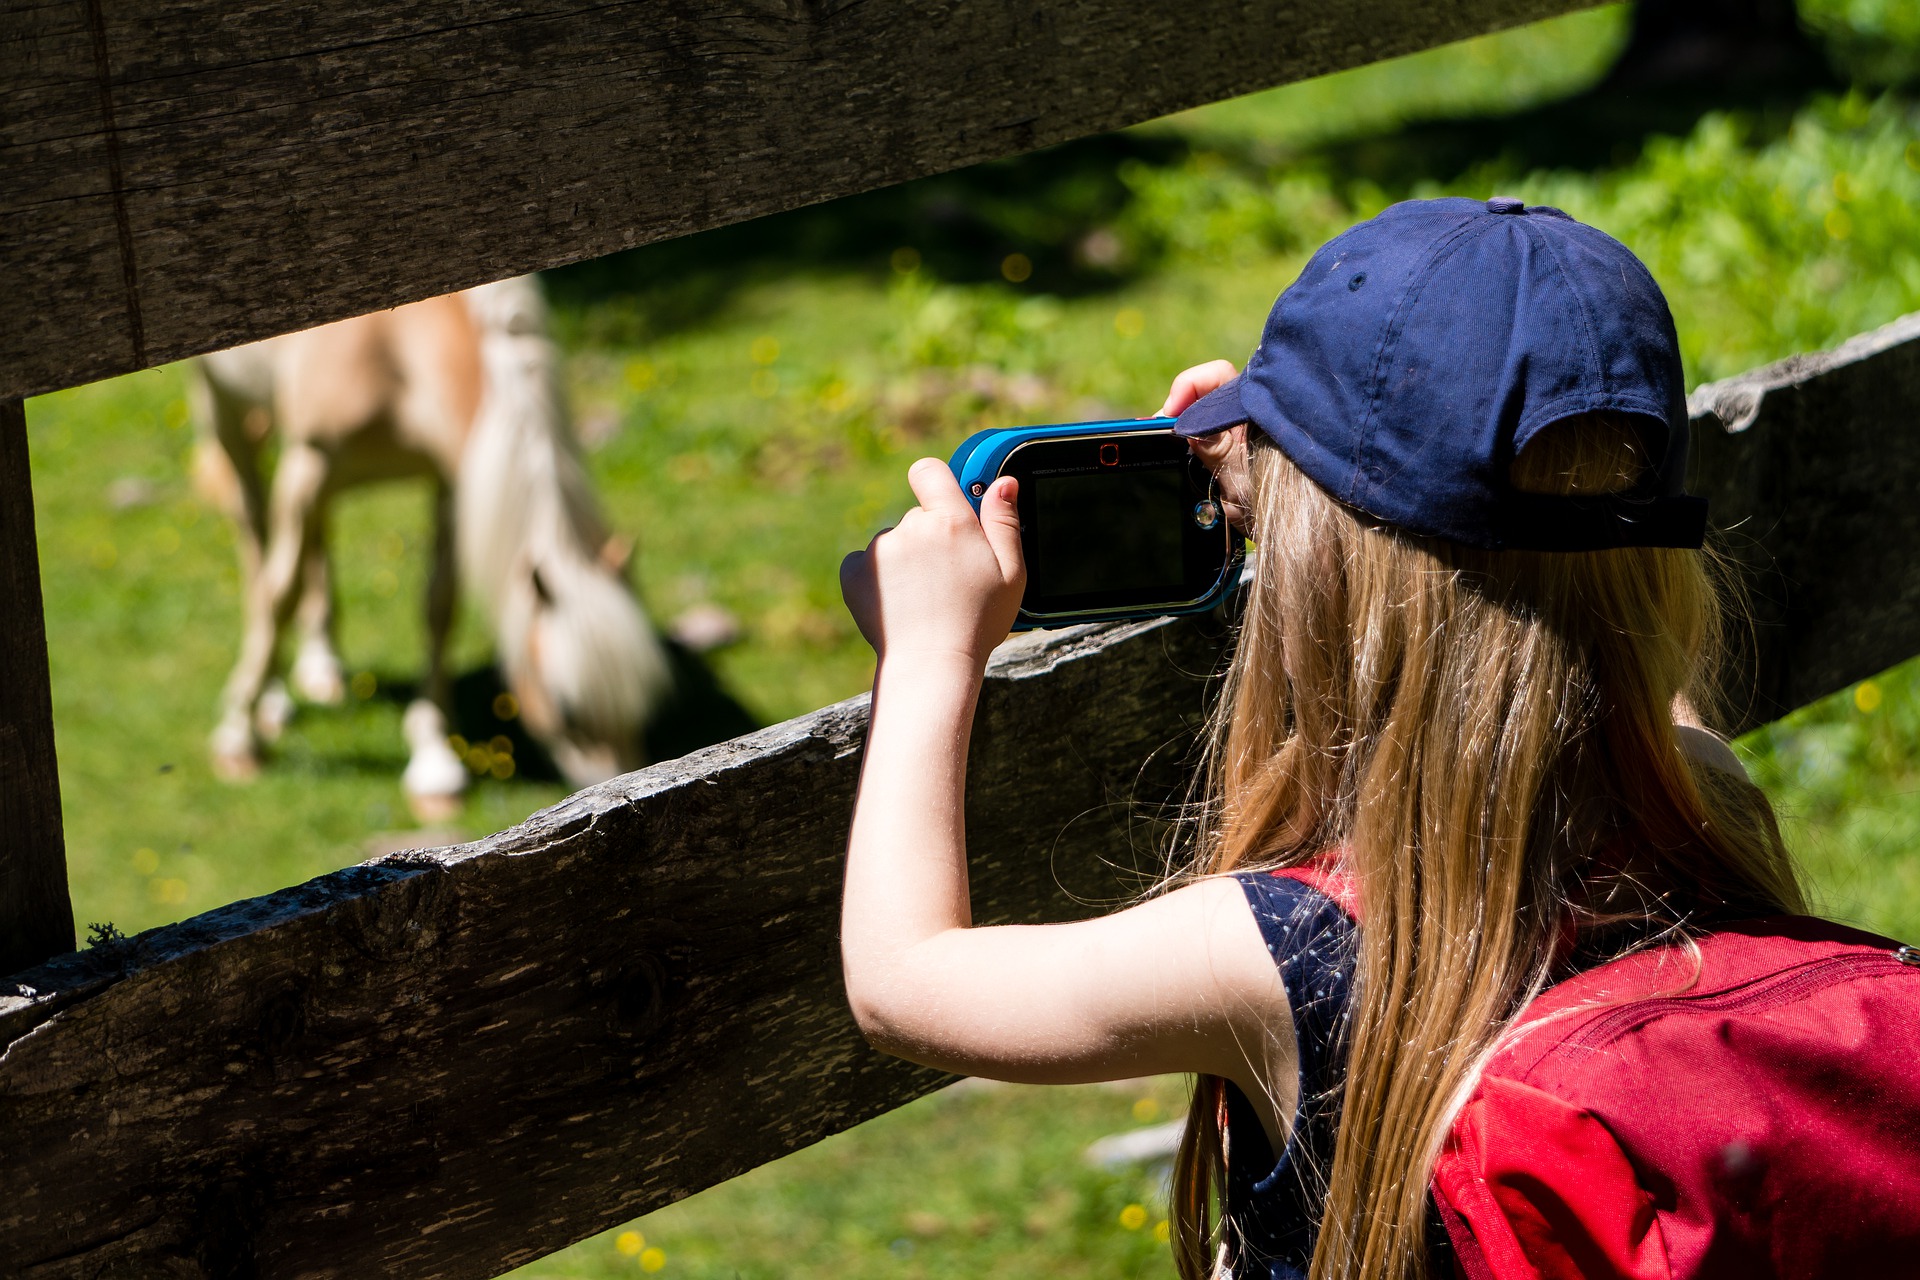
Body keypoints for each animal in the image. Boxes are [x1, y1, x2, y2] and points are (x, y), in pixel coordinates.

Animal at [192, 276, 675, 817]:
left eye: (643, 705)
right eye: (567, 711)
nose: (624, 797)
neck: (390, 341)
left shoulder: (450, 482)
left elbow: (439, 607)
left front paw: (433, 761)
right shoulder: (309, 466)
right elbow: (279, 597)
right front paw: (239, 735)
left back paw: (322, 666)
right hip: (226, 409)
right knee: (256, 533)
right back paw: (273, 698)